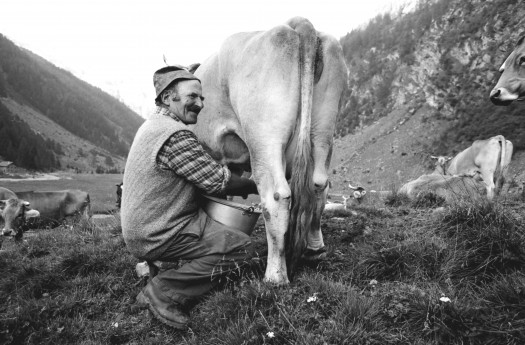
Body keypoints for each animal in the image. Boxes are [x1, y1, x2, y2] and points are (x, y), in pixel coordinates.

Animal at [190, 17, 346, 284]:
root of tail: (297, 25)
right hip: (323, 132)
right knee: (318, 186)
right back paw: (315, 251)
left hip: (264, 137)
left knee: (276, 197)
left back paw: (275, 276)